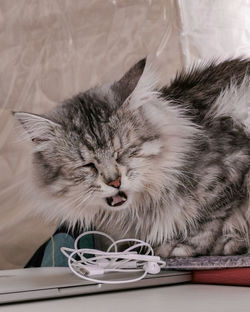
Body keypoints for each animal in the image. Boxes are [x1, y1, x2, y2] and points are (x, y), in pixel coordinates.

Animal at [13, 57, 250, 258]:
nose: (114, 182)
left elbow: (206, 220)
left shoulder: (228, 174)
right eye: (88, 165)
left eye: (122, 153)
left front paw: (183, 247)